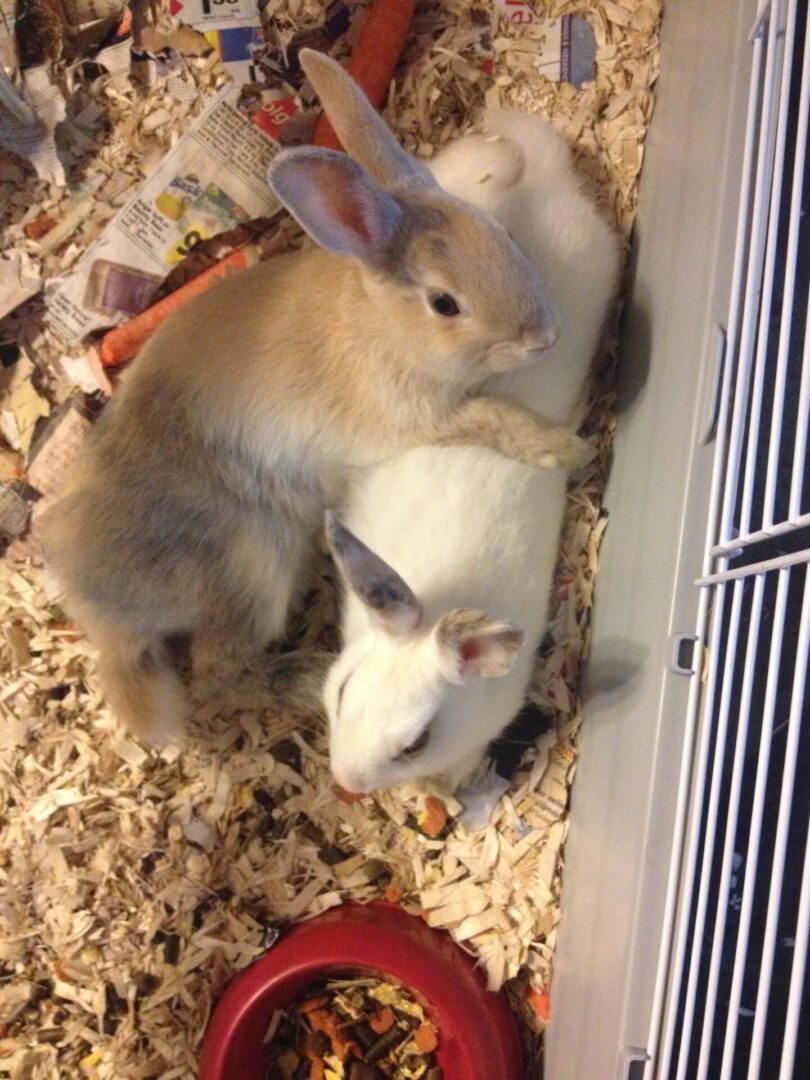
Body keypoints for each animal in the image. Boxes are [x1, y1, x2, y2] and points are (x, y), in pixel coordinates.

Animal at [39, 50, 591, 748]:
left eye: (504, 235)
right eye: (444, 303)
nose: (545, 336)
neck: (380, 321)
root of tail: (103, 619)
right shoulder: (422, 417)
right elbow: (498, 418)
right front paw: (566, 449)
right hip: (253, 563)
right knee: (221, 674)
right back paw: (311, 679)